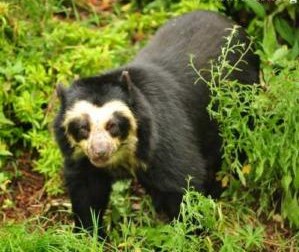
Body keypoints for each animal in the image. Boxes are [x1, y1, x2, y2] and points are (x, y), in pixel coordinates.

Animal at [54, 9, 260, 234]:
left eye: (113, 125)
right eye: (83, 128)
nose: (99, 152)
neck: (126, 151)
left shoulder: (163, 138)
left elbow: (182, 181)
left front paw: (190, 230)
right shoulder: (81, 158)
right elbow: (86, 190)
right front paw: (88, 232)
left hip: (241, 99)